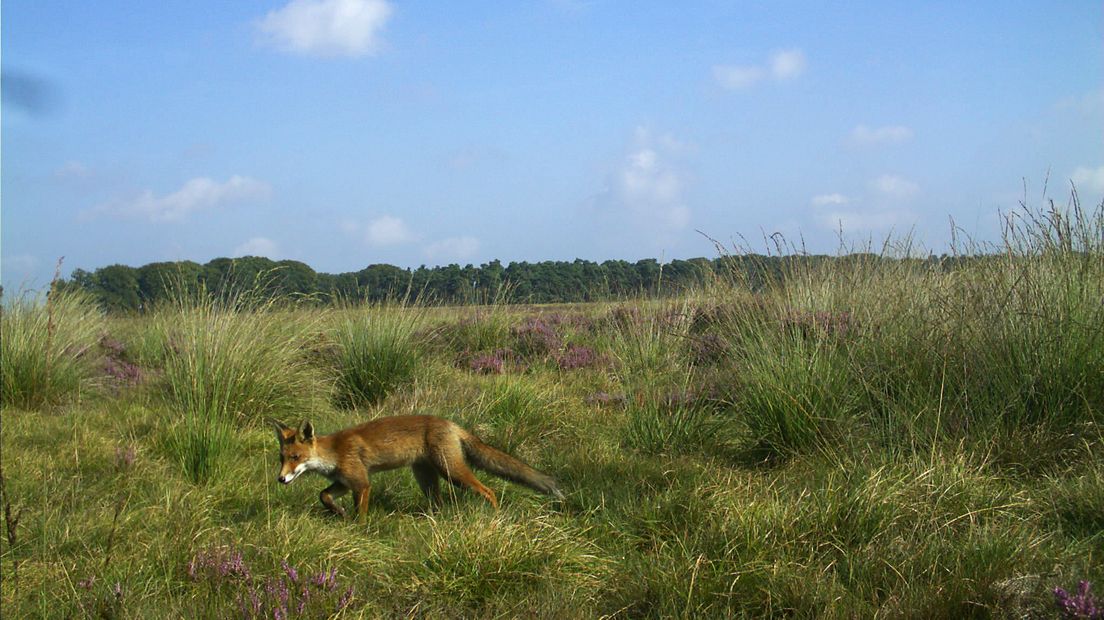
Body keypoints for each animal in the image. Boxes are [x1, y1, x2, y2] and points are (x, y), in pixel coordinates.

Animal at [266, 412, 560, 518]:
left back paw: (495, 518)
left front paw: (358, 528)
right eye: (281, 458)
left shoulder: (362, 483)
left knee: (489, 491)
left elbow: (361, 514)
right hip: (427, 479)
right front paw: (338, 511)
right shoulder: (344, 482)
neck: (334, 452)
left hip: (452, 472)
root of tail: (450, 423)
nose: (280, 479)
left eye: (296, 458)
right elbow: (323, 495)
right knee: (440, 504)